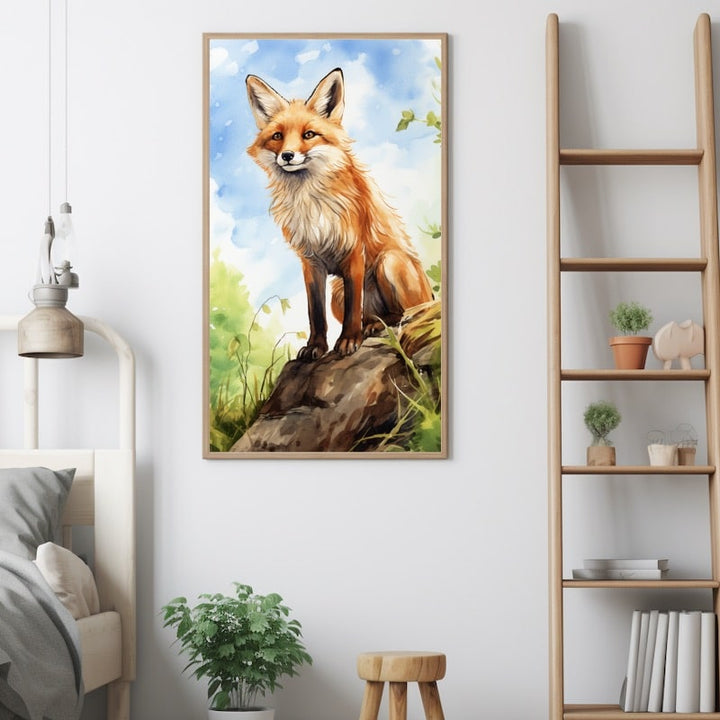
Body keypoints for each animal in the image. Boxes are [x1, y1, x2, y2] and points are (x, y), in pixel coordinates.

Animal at [245, 67, 434, 360]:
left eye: (309, 134)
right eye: (277, 136)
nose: (287, 155)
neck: (312, 202)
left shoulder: (354, 251)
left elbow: (353, 309)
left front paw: (348, 341)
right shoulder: (310, 261)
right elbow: (316, 313)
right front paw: (316, 346)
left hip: (389, 262)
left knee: (404, 314)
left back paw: (374, 327)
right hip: (337, 291)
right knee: (372, 315)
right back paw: (371, 324)